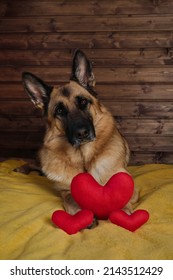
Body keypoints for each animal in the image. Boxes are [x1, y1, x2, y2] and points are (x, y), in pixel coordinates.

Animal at [21, 49, 138, 221]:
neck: (83, 158)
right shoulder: (65, 191)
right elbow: (71, 198)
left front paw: (123, 212)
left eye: (83, 102)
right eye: (60, 110)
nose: (82, 133)